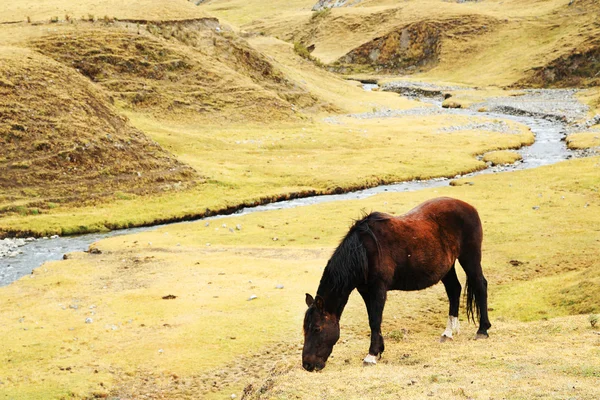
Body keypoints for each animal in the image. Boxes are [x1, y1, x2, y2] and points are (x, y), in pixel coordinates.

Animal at [302, 197, 490, 372]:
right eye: (305, 328)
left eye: (317, 329)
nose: (307, 365)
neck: (364, 251)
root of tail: (469, 207)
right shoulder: (365, 291)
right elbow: (372, 319)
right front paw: (379, 349)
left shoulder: (378, 290)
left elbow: (375, 320)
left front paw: (371, 356)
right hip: (447, 267)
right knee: (454, 290)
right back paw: (449, 332)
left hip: (470, 257)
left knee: (480, 285)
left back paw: (482, 330)